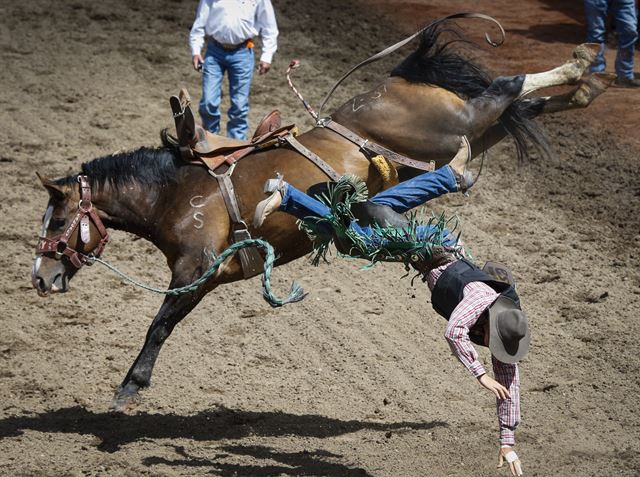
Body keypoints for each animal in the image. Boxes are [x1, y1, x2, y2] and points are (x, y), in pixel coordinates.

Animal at [31, 16, 616, 408]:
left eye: (57, 222)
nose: (40, 277)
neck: (176, 191)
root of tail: (389, 83)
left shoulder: (195, 270)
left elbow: (160, 324)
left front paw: (129, 387)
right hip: (463, 137)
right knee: (523, 107)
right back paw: (588, 84)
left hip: (456, 124)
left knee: (506, 88)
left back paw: (582, 62)